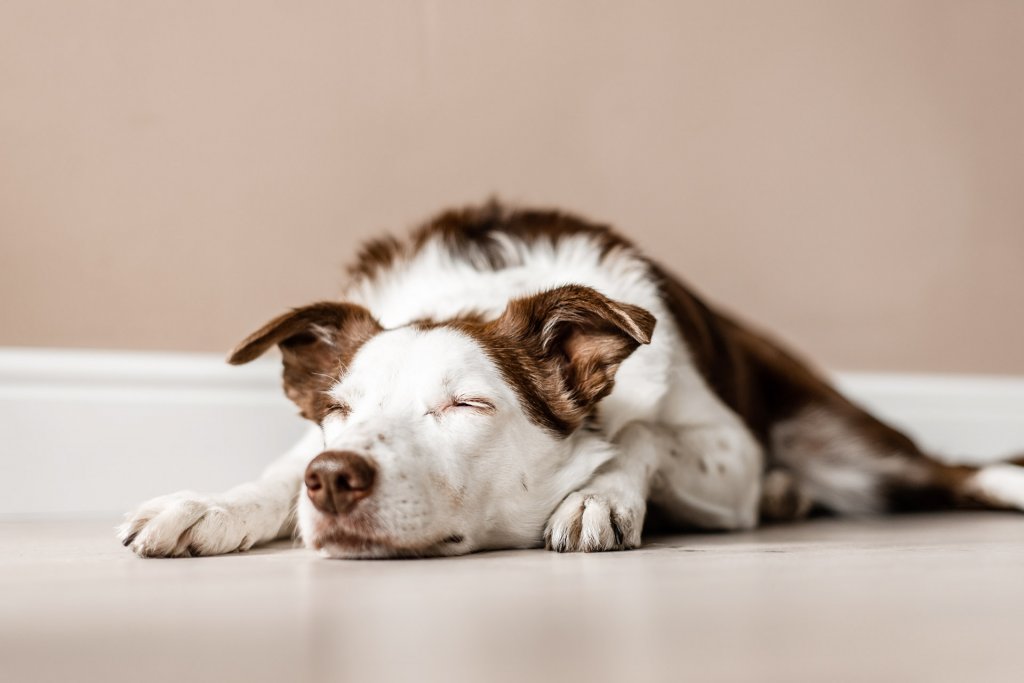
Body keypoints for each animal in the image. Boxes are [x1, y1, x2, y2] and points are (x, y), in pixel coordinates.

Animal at [117, 200, 1024, 557]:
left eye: (466, 404)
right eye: (335, 412)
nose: (334, 477)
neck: (478, 292)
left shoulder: (726, 448)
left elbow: (643, 428)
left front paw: (599, 494)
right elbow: (272, 474)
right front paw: (209, 506)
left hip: (847, 441)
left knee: (956, 470)